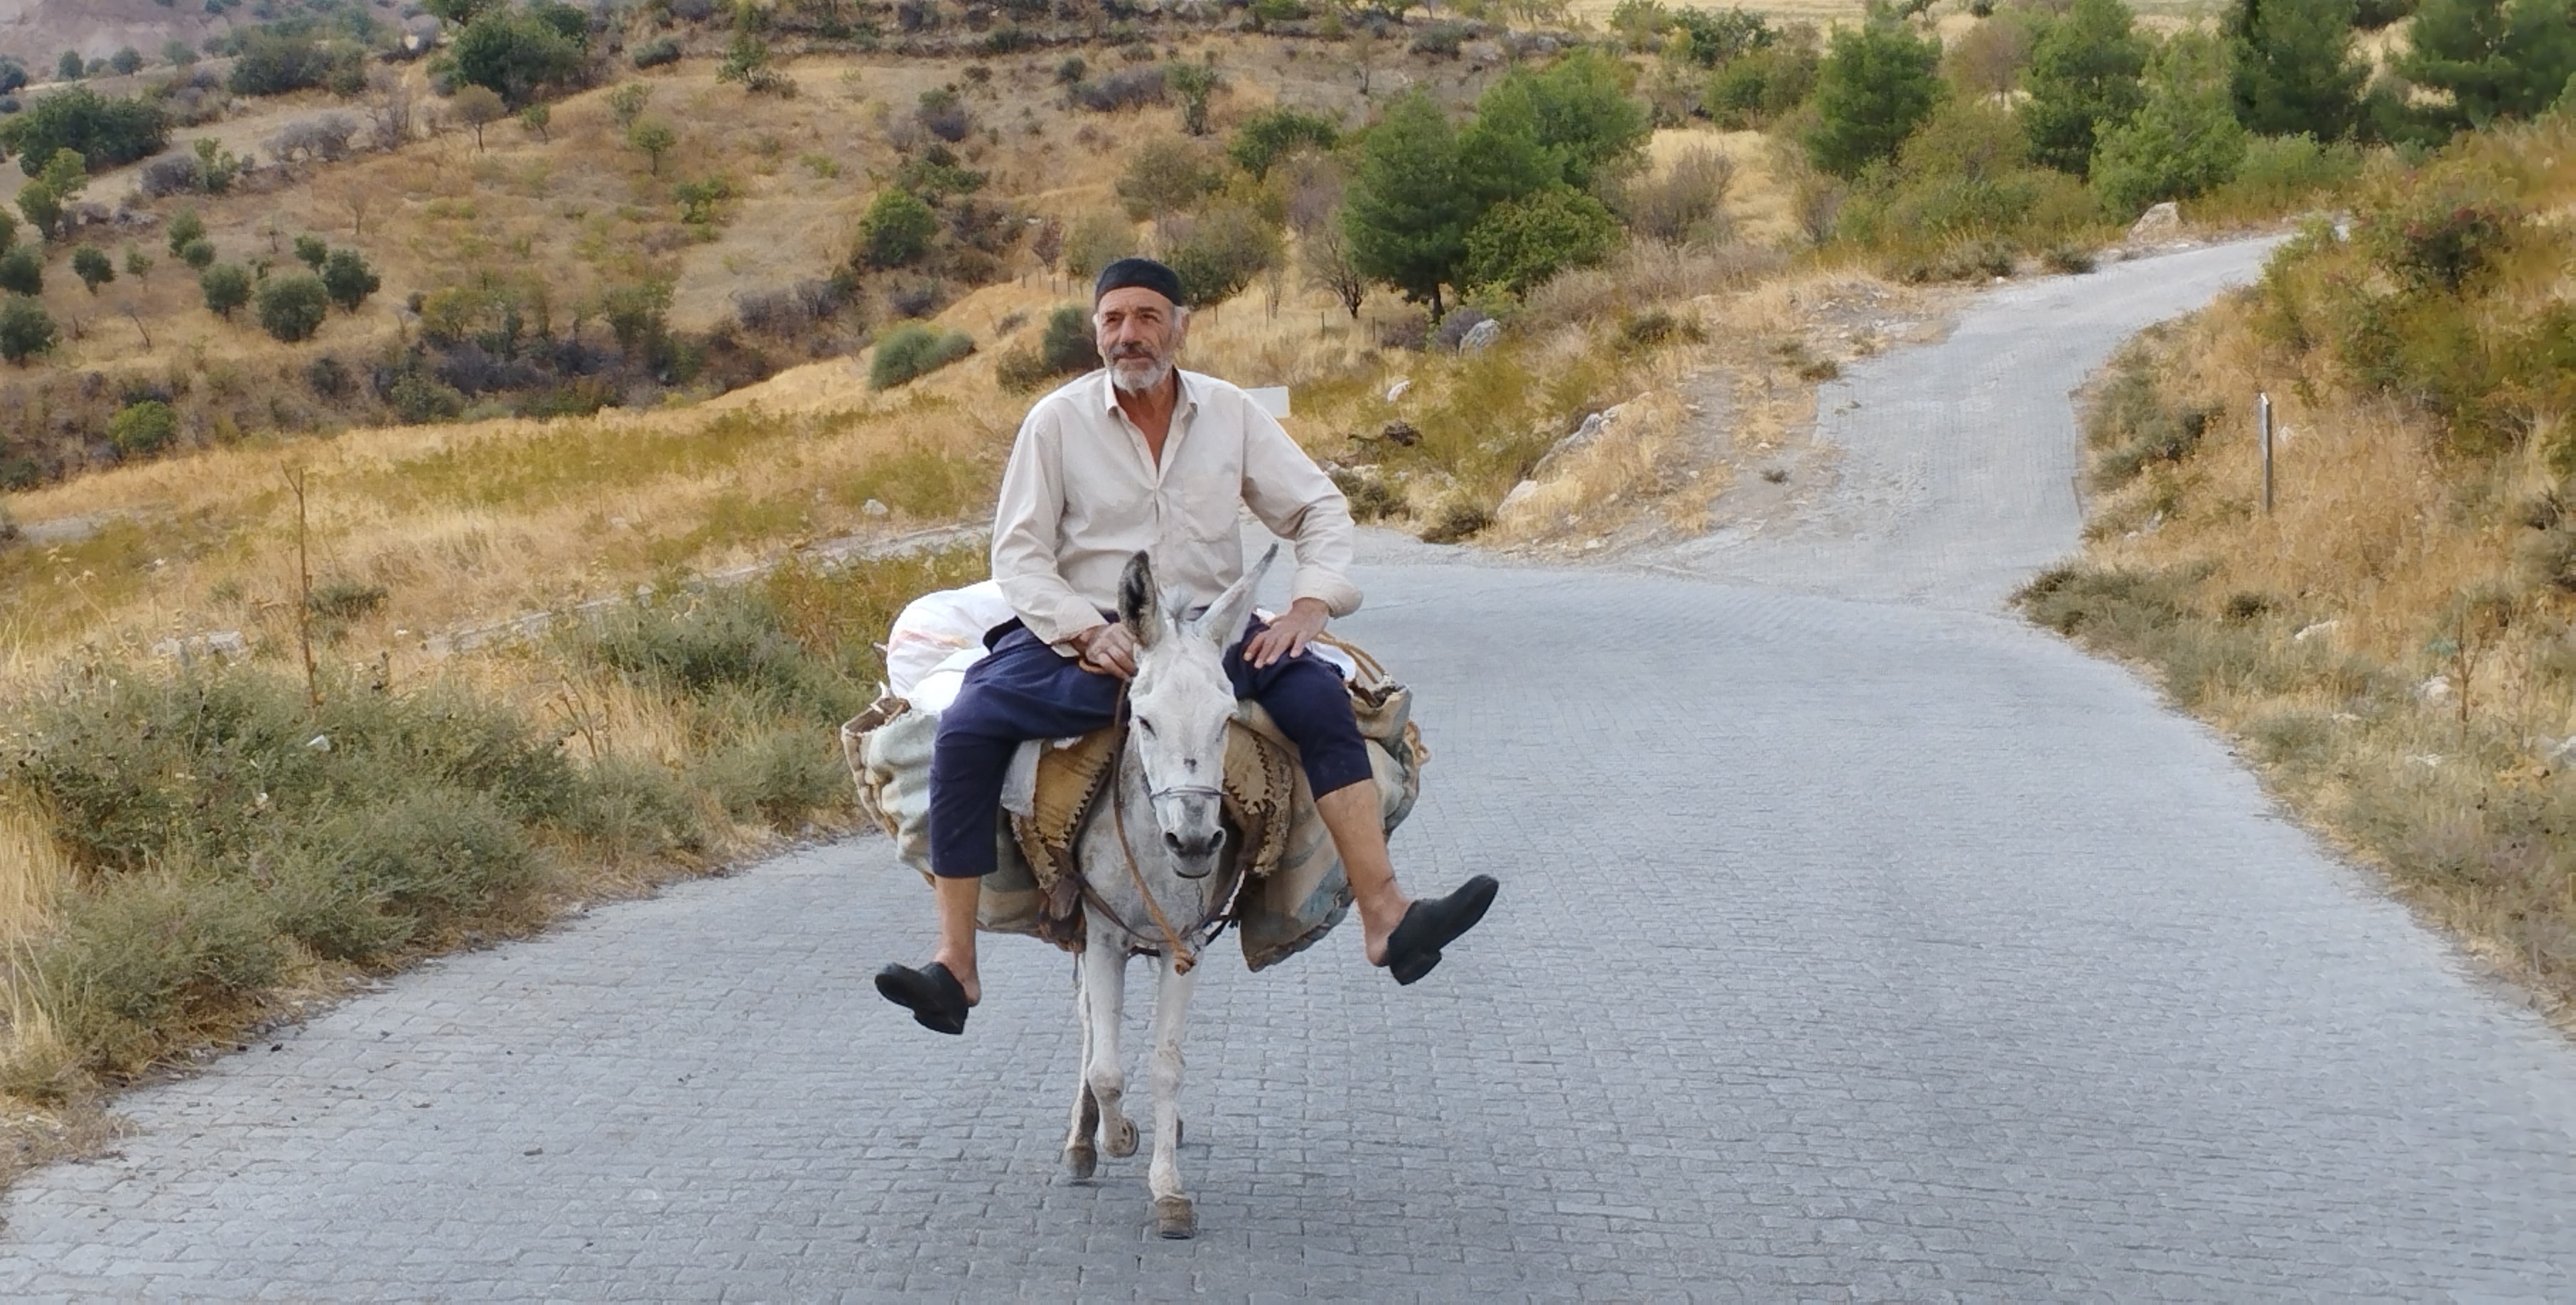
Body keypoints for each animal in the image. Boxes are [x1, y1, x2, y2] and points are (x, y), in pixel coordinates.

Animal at [1057, 544, 1278, 1241]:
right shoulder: (1101, 936)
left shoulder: (1185, 946)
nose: (1195, 843)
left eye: (1227, 719)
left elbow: (1165, 1064)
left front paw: (1169, 1191)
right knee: (1088, 1029)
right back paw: (1082, 1141)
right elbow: (1105, 1068)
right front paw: (1116, 1136)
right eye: (1145, 721)